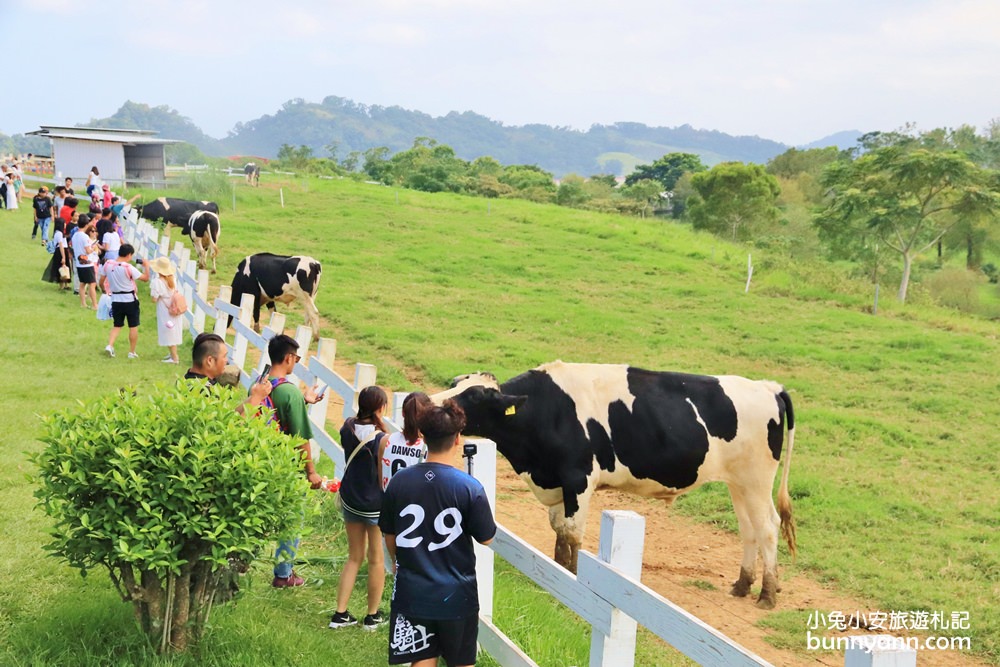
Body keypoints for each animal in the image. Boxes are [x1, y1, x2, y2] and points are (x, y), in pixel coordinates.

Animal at [434, 362, 800, 608]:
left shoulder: (579, 479)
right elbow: (558, 531)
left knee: (768, 528)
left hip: (755, 479)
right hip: (739, 483)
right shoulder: (558, 484)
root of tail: (769, 387)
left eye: (475, 396)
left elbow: (572, 535)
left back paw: (767, 594)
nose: (430, 403)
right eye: (455, 383)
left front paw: (571, 579)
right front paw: (556, 574)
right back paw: (742, 584)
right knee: (750, 530)